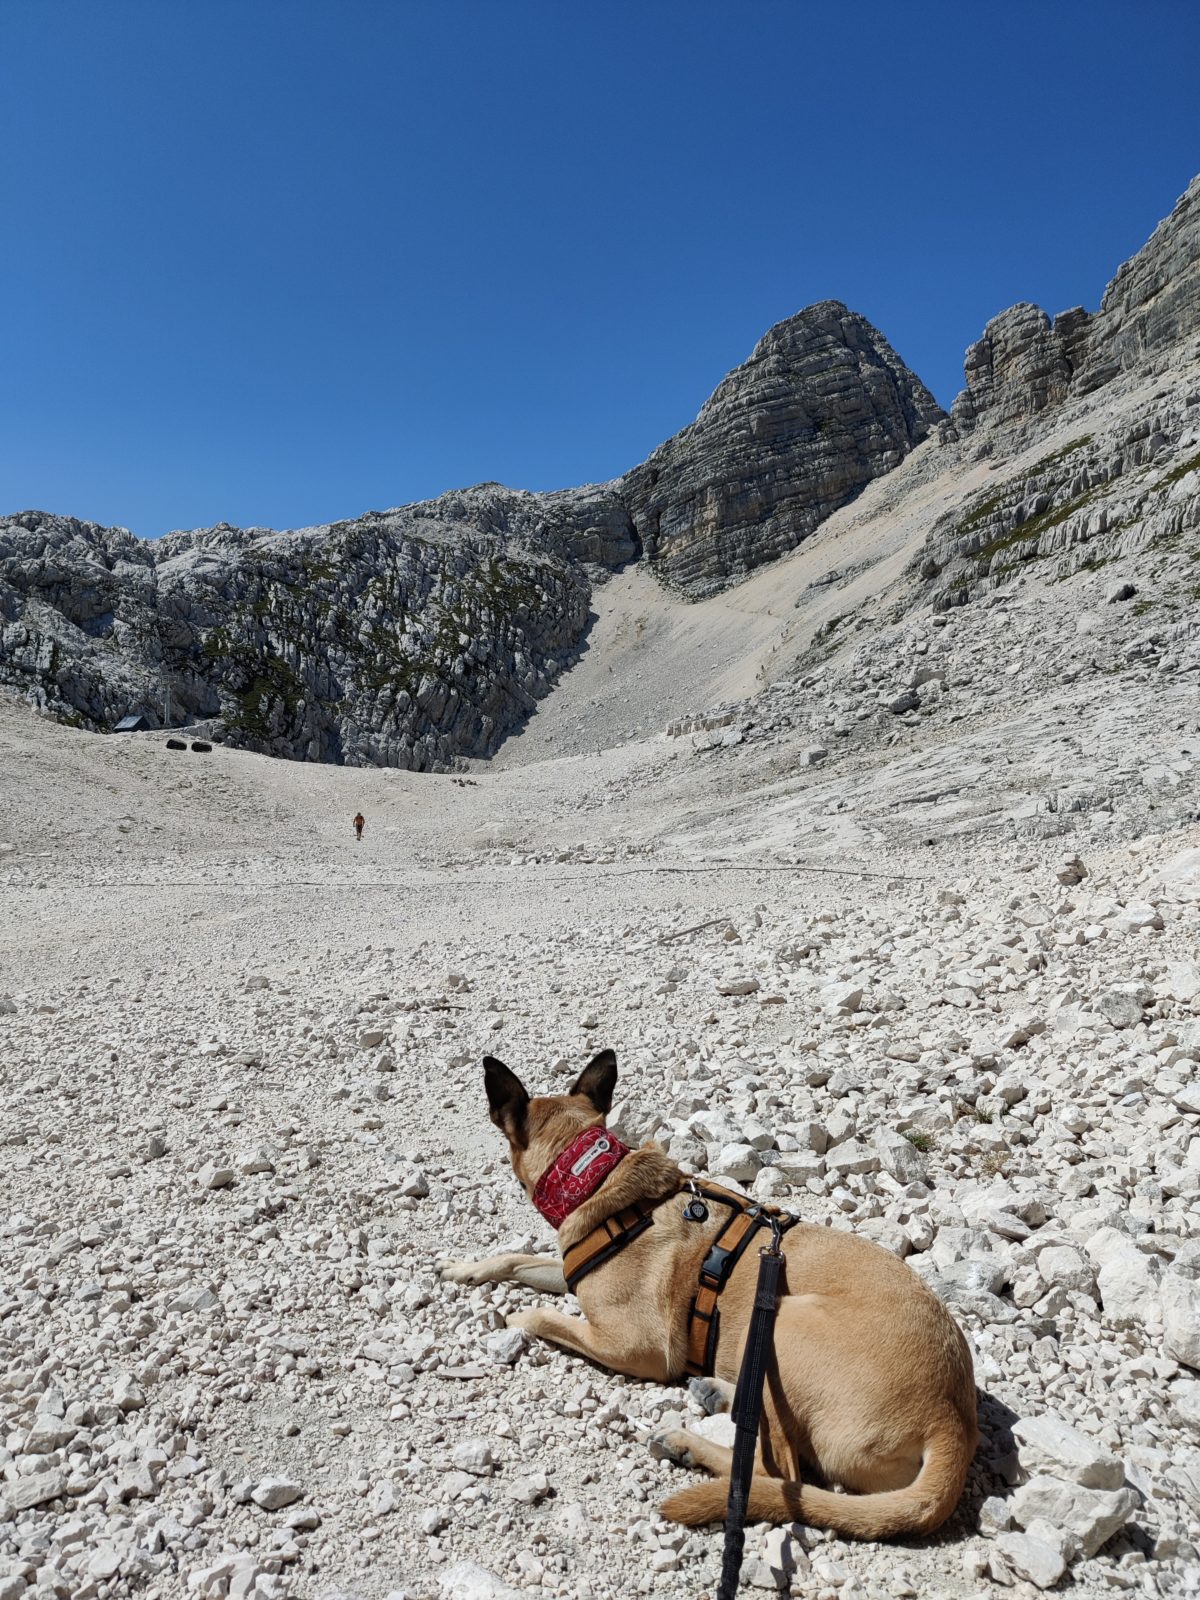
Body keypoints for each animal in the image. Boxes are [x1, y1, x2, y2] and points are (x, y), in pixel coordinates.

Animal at [441, 1049, 979, 1536]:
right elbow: (515, 1259)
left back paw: (686, 1443)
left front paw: (513, 1320)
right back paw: (719, 1393)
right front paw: (463, 1269)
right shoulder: (572, 1271)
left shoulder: (638, 1348)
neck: (598, 1180)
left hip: (783, 1319)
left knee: (779, 1469)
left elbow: (541, 1315)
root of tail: (952, 1421)